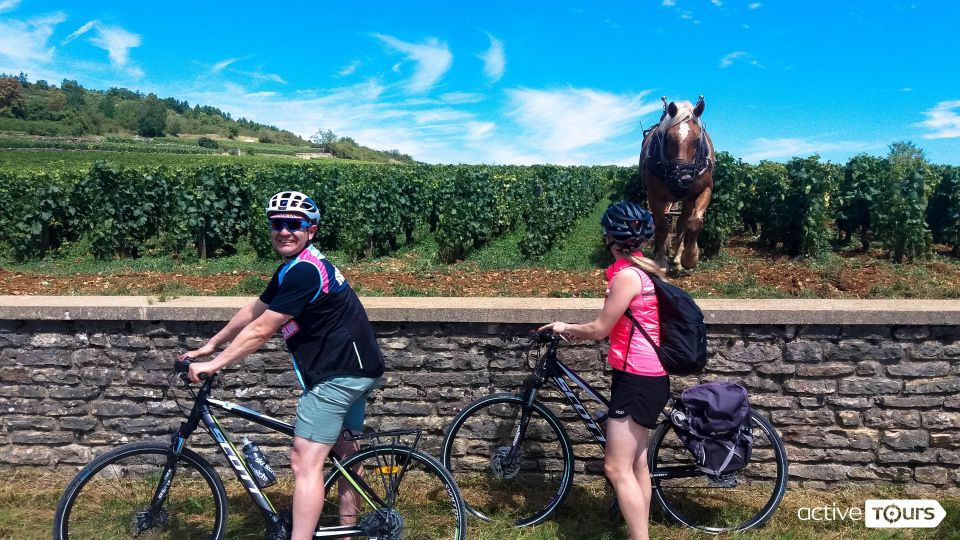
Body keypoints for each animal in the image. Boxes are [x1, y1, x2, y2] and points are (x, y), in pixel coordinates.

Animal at [636, 96, 712, 268]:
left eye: (697, 141)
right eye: (668, 138)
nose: (682, 179)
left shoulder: (705, 189)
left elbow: (694, 222)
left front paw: (689, 257)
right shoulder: (654, 195)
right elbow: (662, 227)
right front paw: (660, 259)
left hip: (688, 199)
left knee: (682, 223)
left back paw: (677, 257)